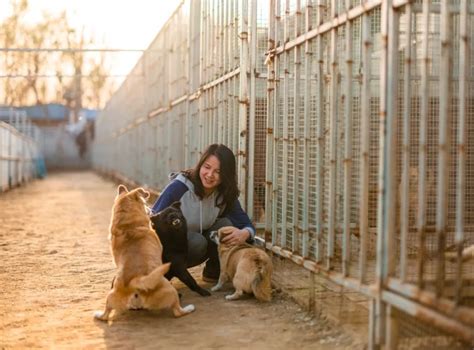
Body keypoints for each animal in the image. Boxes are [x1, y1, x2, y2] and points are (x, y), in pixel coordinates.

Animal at [94, 185, 194, 322]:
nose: (151, 210)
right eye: (145, 203)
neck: (127, 225)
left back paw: (98, 314)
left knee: (105, 314)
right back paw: (189, 308)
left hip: (111, 295)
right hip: (171, 291)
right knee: (178, 311)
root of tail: (134, 283)